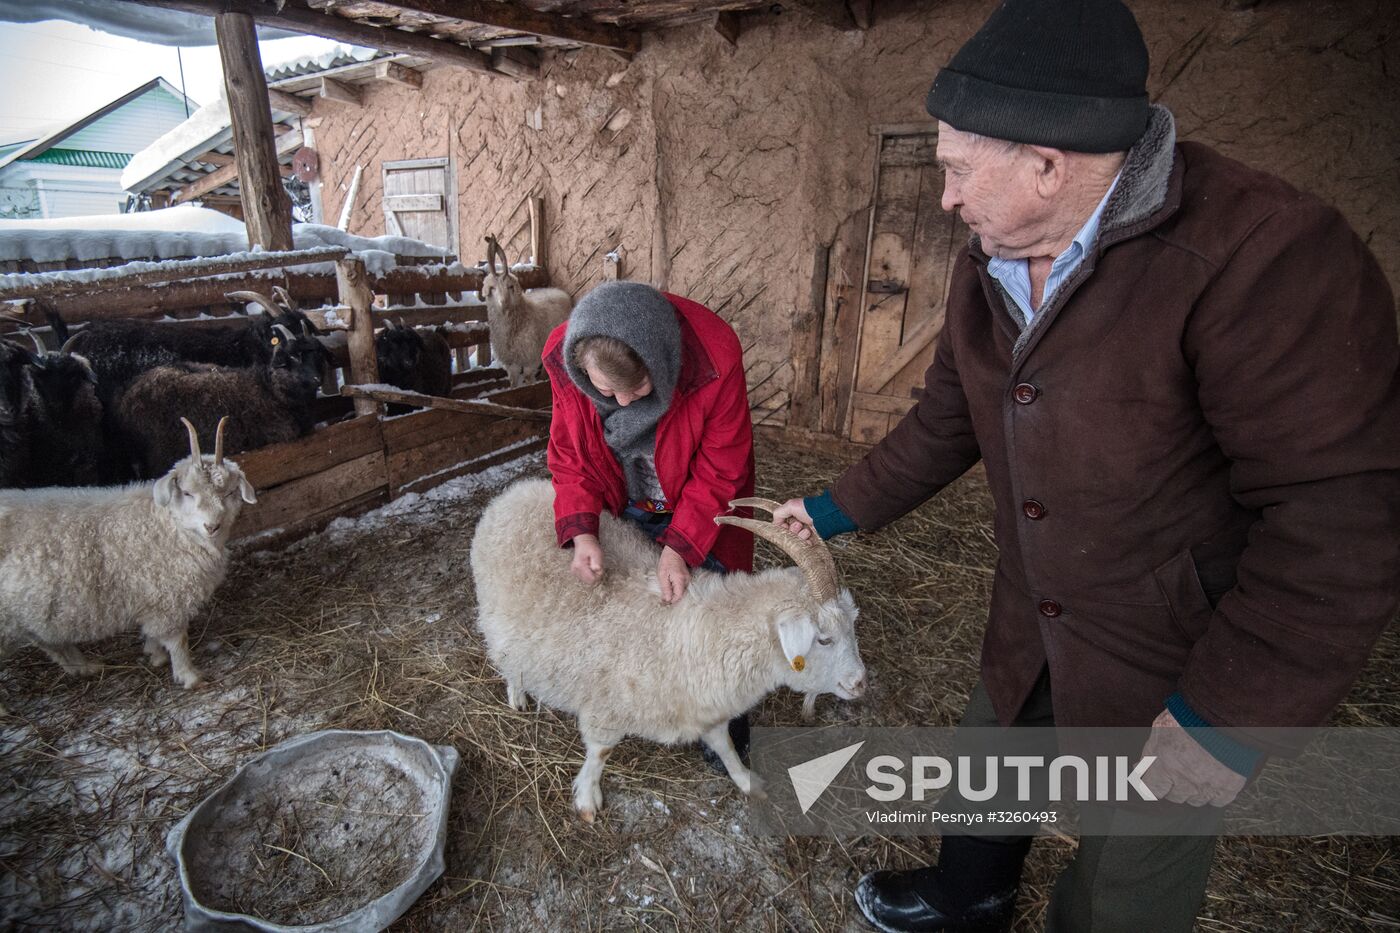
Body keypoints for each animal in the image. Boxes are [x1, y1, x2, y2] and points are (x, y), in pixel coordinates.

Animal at [0, 417, 255, 694]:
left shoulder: (154, 597)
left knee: (48, 641)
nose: (212, 526)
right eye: (187, 493)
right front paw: (188, 675)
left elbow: (153, 634)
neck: (168, 525)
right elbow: (177, 640)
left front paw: (155, 655)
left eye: (228, 493)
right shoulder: (167, 598)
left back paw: (83, 667)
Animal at [471, 479, 867, 821]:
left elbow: (724, 744)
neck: (707, 634)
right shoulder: (607, 705)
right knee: (508, 657)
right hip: (498, 617)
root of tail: (518, 492)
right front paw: (586, 798)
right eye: (824, 639)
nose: (861, 683)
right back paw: (517, 695)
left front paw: (746, 780)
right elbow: (600, 750)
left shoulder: (705, 707)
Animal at [480, 236, 572, 387]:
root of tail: (556, 290)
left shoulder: (531, 357)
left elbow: (528, 379)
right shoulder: (511, 362)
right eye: (492, 288)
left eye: (510, 287)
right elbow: (513, 382)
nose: (503, 302)